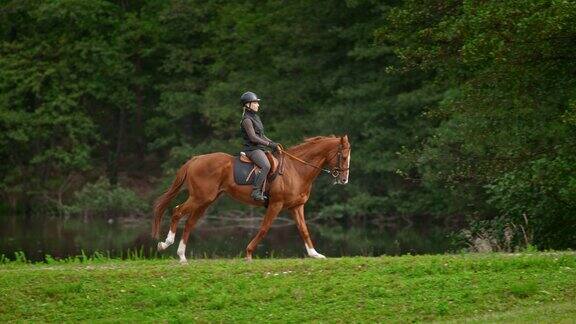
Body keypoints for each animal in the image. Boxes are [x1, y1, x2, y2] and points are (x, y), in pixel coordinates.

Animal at [153, 134, 348, 264]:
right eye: (343, 156)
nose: (344, 179)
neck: (296, 169)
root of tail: (195, 159)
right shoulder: (276, 205)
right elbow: (264, 228)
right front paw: (248, 253)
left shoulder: (296, 206)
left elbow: (304, 230)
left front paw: (315, 254)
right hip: (200, 198)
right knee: (177, 212)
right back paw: (165, 244)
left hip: (206, 201)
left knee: (189, 222)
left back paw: (182, 256)